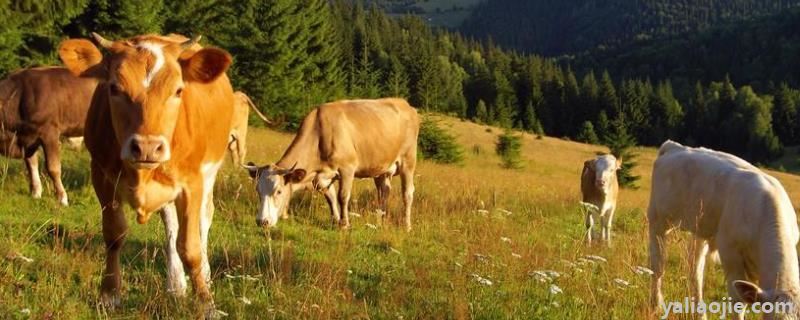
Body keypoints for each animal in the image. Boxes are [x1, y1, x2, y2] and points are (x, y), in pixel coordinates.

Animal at [0, 67, 97, 205]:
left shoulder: (49, 133)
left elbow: (53, 168)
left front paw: (62, 198)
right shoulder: (28, 139)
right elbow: (31, 164)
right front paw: (35, 193)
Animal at [58, 31, 234, 312]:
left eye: (178, 90)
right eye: (114, 88)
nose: (147, 147)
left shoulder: (192, 182)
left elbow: (191, 247)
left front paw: (206, 304)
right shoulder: (101, 176)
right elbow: (114, 235)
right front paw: (109, 295)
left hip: (210, 175)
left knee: (203, 221)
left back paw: (204, 275)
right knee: (171, 226)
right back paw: (175, 285)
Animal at [242, 97, 418, 230]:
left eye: (278, 191)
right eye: (258, 190)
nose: (262, 222)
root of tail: (405, 104)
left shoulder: (347, 168)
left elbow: (342, 196)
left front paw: (345, 224)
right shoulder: (321, 177)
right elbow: (331, 198)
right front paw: (336, 221)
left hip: (408, 161)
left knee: (407, 194)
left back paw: (407, 225)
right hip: (381, 168)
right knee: (383, 192)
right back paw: (380, 222)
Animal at [648, 141, 800, 320]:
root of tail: (674, 146)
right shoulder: (730, 253)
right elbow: (738, 302)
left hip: (700, 229)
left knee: (695, 271)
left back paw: (699, 314)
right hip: (657, 219)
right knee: (657, 264)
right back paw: (656, 305)